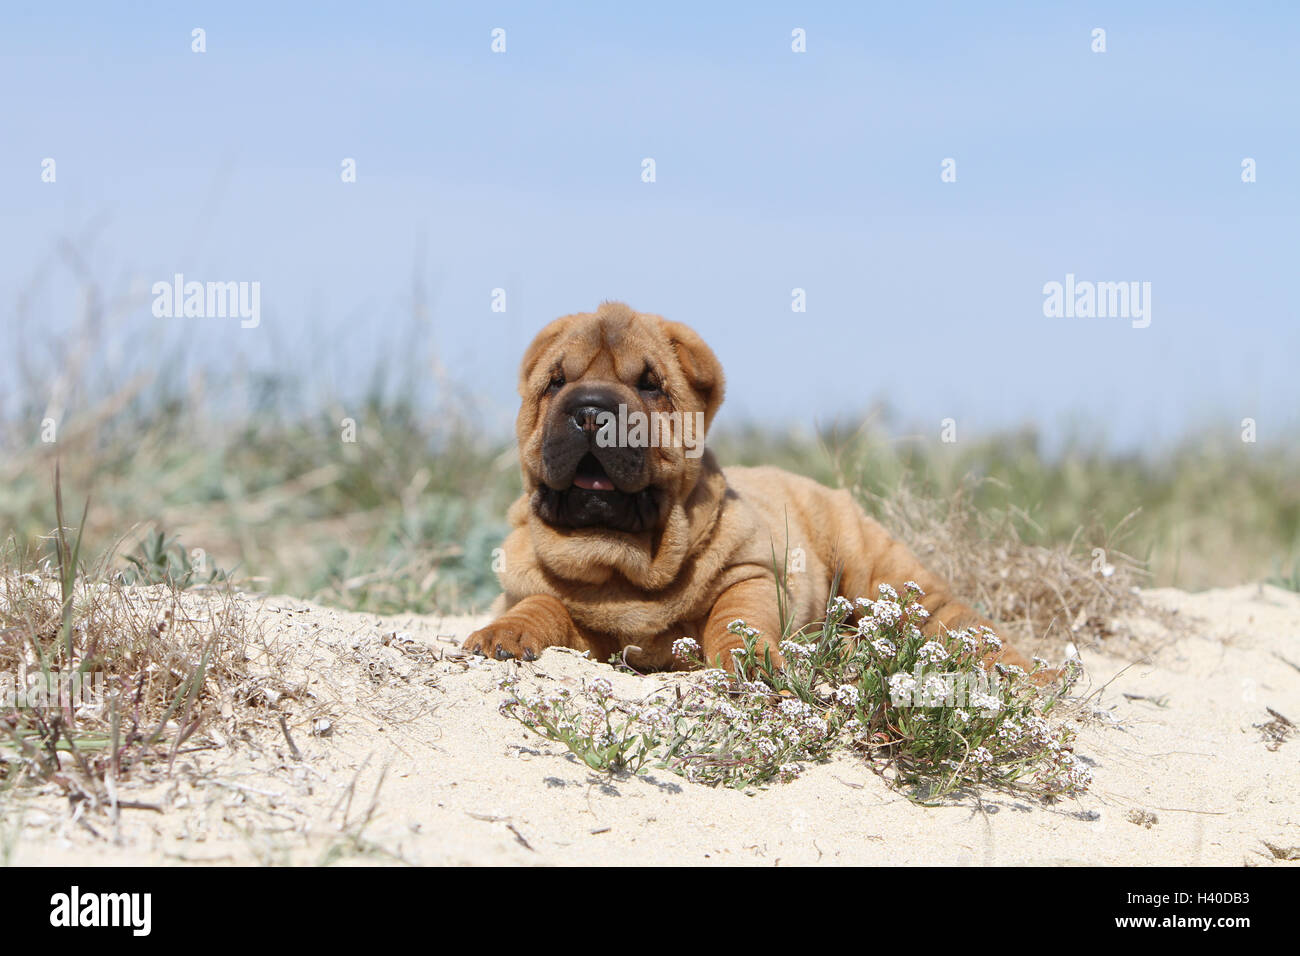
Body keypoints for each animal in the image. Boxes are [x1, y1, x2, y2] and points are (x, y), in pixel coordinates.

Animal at [462, 300, 1029, 671]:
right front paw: (503, 634)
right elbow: (543, 604)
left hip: (884, 571)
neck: (621, 563)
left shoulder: (753, 572)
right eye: (556, 382)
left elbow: (737, 616)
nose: (589, 411)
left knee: (965, 627)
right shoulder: (552, 600)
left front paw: (747, 660)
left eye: (650, 385)